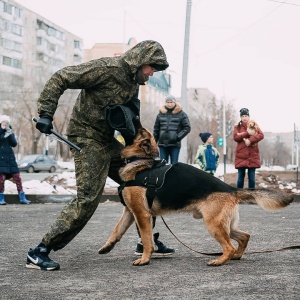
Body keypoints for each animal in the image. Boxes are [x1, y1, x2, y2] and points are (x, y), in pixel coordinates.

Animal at [98, 127, 292, 266]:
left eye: (140, 130)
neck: (139, 162)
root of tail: (230, 189)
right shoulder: (130, 212)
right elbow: (117, 230)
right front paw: (107, 247)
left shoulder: (142, 215)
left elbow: (146, 239)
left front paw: (145, 259)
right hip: (225, 224)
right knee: (245, 236)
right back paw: (236, 256)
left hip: (213, 224)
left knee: (229, 246)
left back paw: (220, 260)